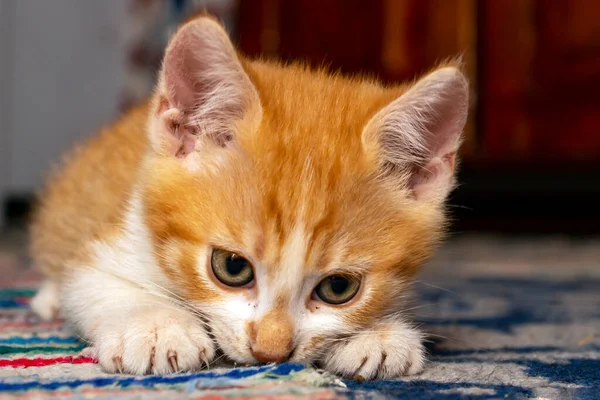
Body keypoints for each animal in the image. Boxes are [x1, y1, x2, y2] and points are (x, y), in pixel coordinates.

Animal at [28, 14, 468, 378]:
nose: (271, 353)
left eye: (339, 288)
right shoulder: (110, 244)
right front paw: (155, 326)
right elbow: (94, 283)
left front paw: (380, 334)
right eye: (232, 267)